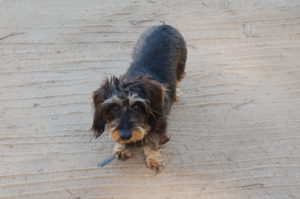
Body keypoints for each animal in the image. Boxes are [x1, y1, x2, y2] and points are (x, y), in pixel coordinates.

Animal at [90, 24, 186, 171]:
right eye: (113, 107)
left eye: (136, 106)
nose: (125, 135)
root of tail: (164, 26)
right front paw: (122, 147)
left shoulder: (159, 124)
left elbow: (153, 141)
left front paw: (154, 159)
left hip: (181, 64)